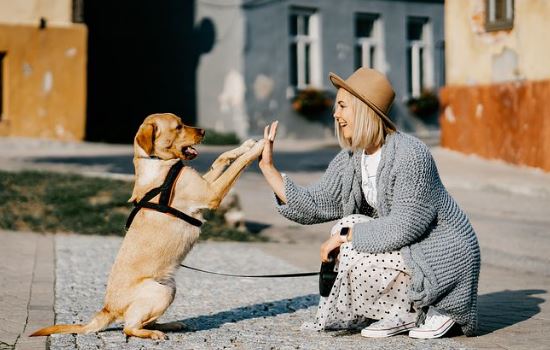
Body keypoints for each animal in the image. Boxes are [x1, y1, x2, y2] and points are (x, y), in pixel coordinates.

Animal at [31, 113, 266, 340]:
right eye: (178, 126)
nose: (204, 131)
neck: (158, 163)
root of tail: (107, 309)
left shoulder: (205, 184)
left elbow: (221, 158)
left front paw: (245, 145)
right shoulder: (211, 193)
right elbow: (238, 165)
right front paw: (259, 147)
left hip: (170, 288)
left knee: (143, 322)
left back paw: (170, 325)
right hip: (160, 291)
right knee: (129, 327)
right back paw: (153, 333)